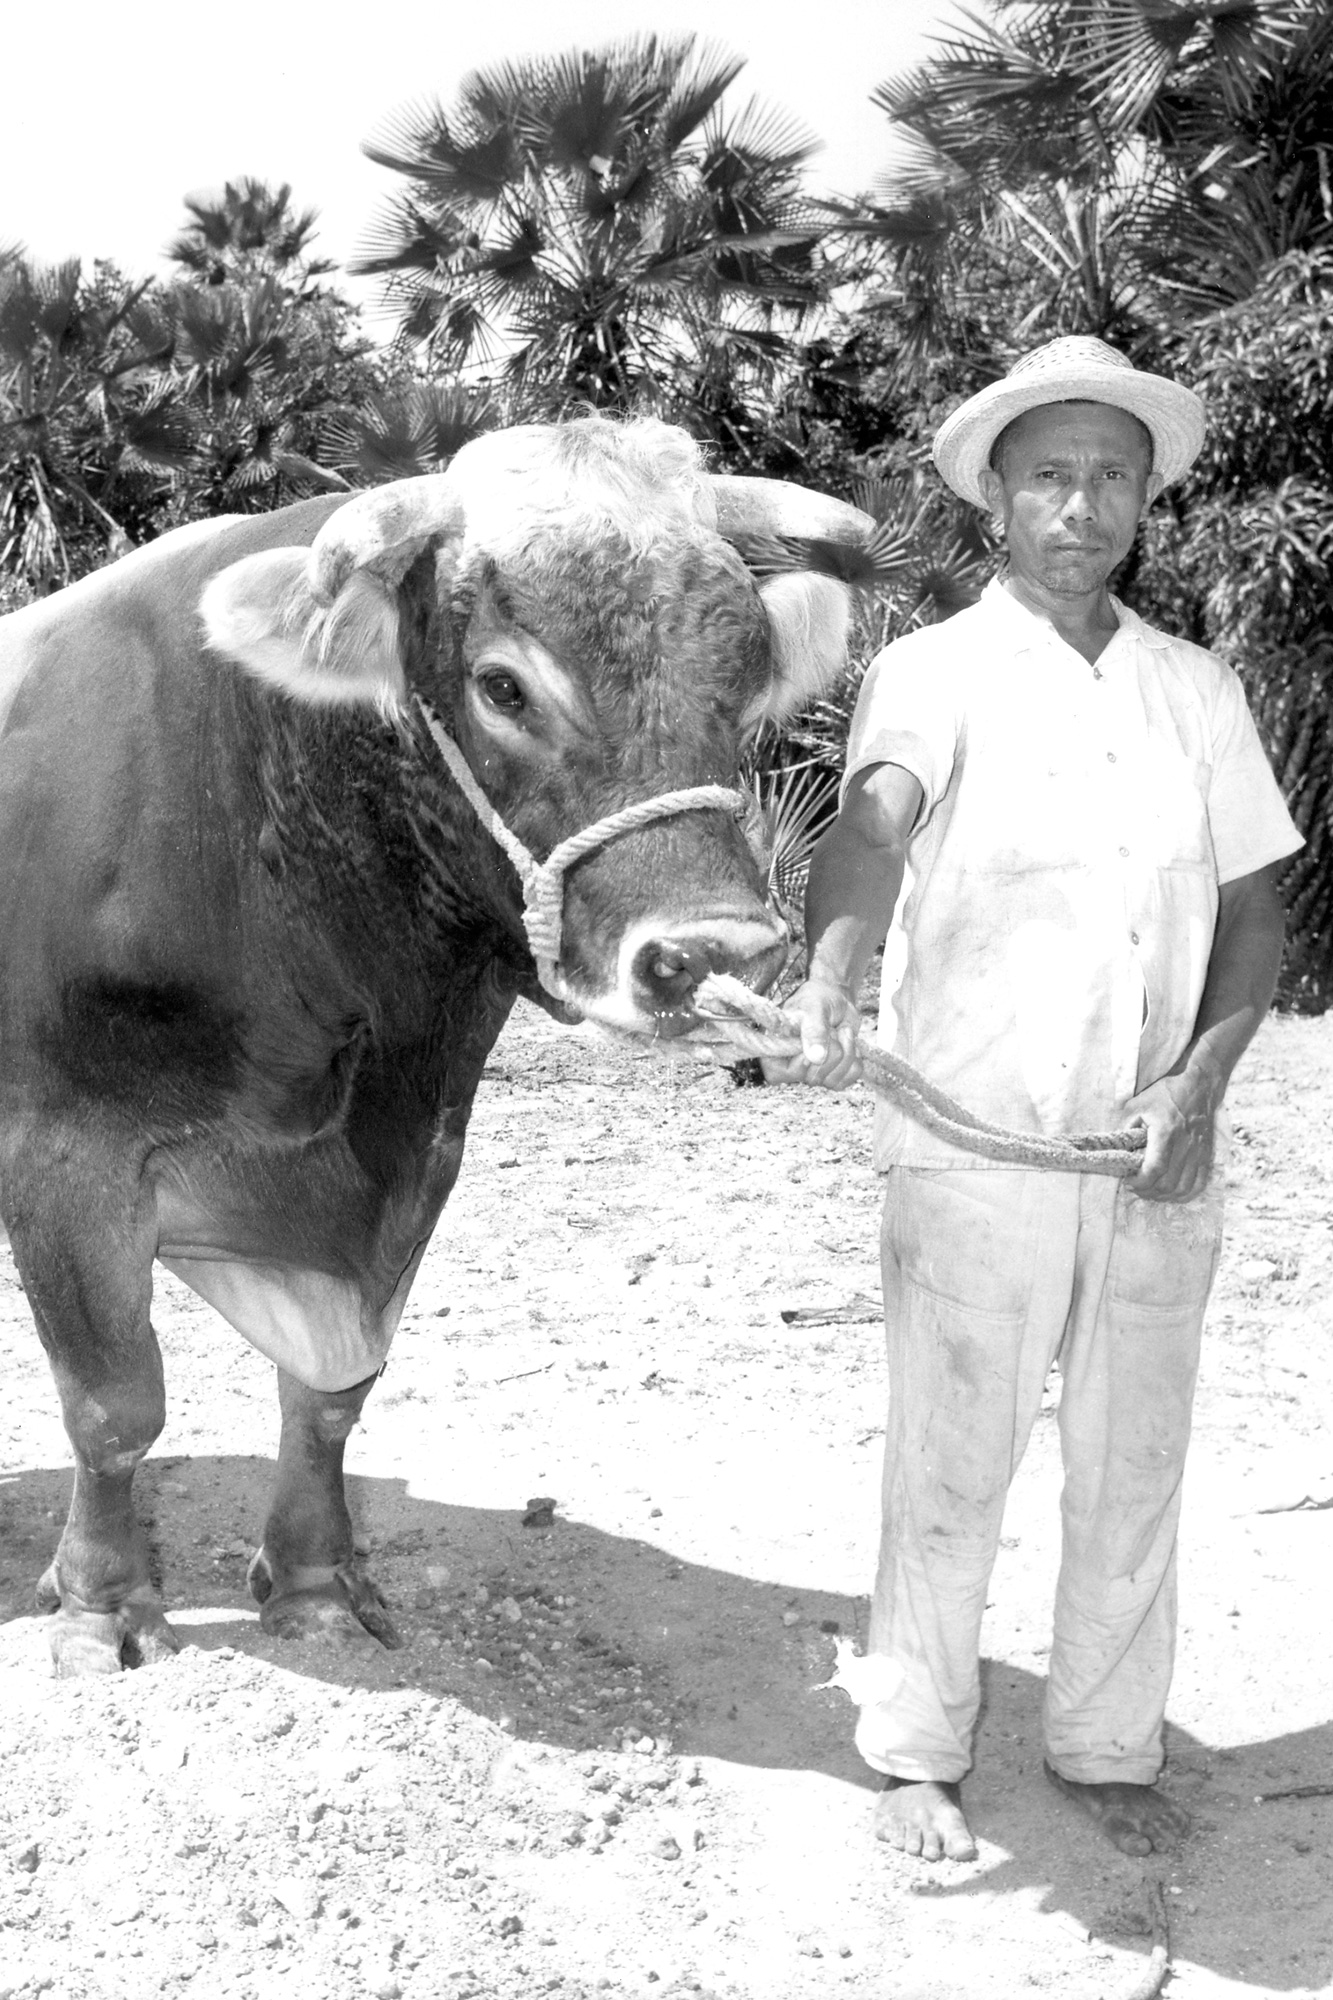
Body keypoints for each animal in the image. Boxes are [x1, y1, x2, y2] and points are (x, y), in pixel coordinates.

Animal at [0, 418, 876, 1672]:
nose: (716, 947)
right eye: (501, 684)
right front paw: (100, 1605)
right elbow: (116, 1403)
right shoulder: (66, 1153)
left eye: (744, 674)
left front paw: (317, 1581)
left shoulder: (421, 1151)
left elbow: (331, 1394)